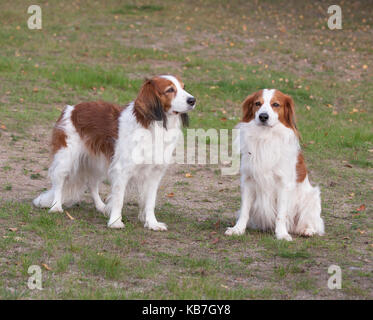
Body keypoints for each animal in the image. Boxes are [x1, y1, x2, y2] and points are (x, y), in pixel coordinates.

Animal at [32, 75, 195, 230]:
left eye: (183, 87)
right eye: (170, 90)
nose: (193, 100)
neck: (153, 126)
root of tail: (71, 109)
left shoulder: (154, 174)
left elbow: (150, 202)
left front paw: (152, 223)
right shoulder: (122, 171)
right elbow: (119, 199)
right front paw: (115, 222)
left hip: (96, 162)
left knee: (92, 184)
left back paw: (101, 207)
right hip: (66, 158)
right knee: (59, 182)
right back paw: (56, 207)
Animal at [224, 88, 322, 240]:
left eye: (275, 104)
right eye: (257, 103)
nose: (263, 116)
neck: (266, 137)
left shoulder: (284, 184)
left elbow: (281, 214)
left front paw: (281, 234)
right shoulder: (248, 180)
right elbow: (244, 211)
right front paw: (238, 229)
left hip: (312, 197)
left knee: (311, 222)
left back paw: (306, 230)